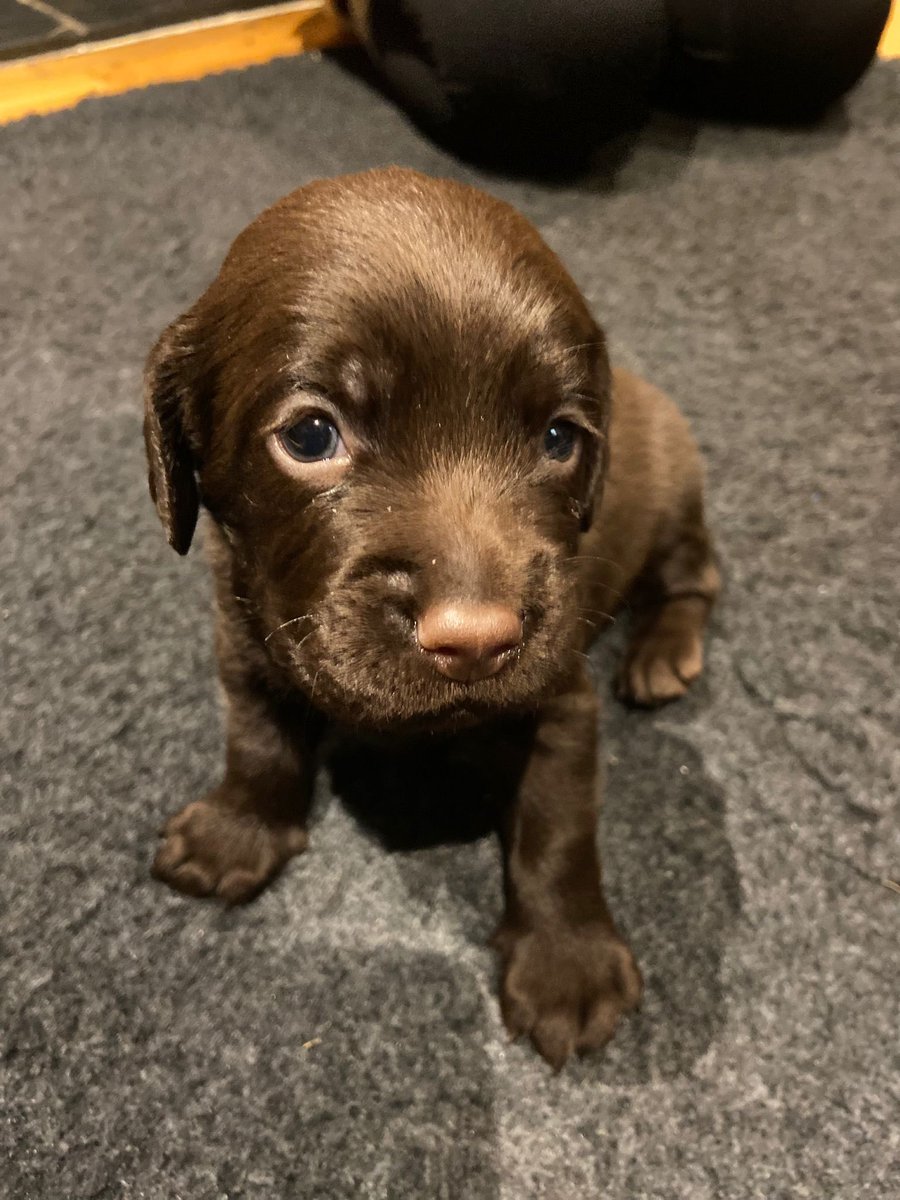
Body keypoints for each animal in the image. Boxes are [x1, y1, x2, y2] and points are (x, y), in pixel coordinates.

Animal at [142, 164, 720, 1065]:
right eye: (311, 436)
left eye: (560, 438)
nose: (477, 642)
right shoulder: (246, 638)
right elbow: (259, 738)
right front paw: (237, 829)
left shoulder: (561, 700)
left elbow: (558, 830)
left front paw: (568, 965)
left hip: (668, 496)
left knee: (697, 571)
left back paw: (663, 652)